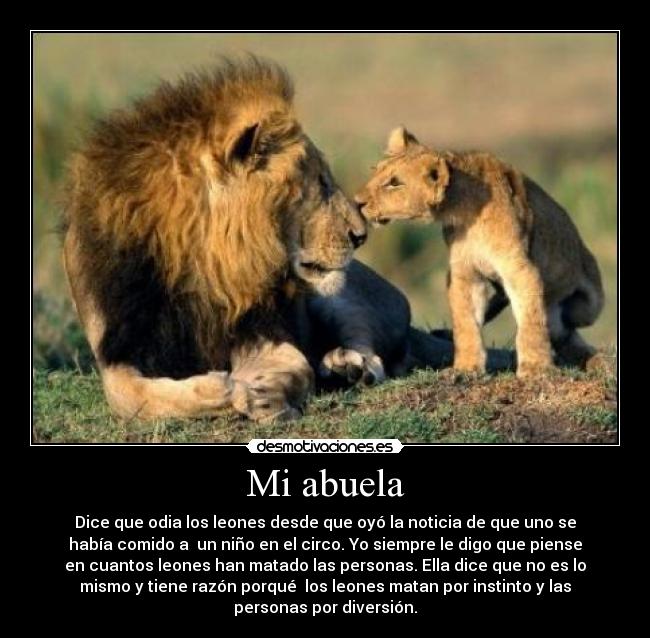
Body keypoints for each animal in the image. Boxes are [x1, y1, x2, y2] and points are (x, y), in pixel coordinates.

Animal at [62, 57, 376, 422]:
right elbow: (129, 396)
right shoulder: (117, 349)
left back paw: (352, 367)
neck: (197, 262)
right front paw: (220, 390)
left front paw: (263, 393)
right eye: (322, 182)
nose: (361, 236)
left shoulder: (260, 328)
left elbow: (298, 366)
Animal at [355, 127, 605, 377]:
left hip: (588, 306)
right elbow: (466, 323)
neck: (462, 209)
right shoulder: (465, 273)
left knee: (566, 328)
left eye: (394, 183)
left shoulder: (520, 269)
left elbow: (531, 321)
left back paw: (596, 360)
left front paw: (535, 368)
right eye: (375, 172)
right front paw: (466, 368)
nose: (357, 202)